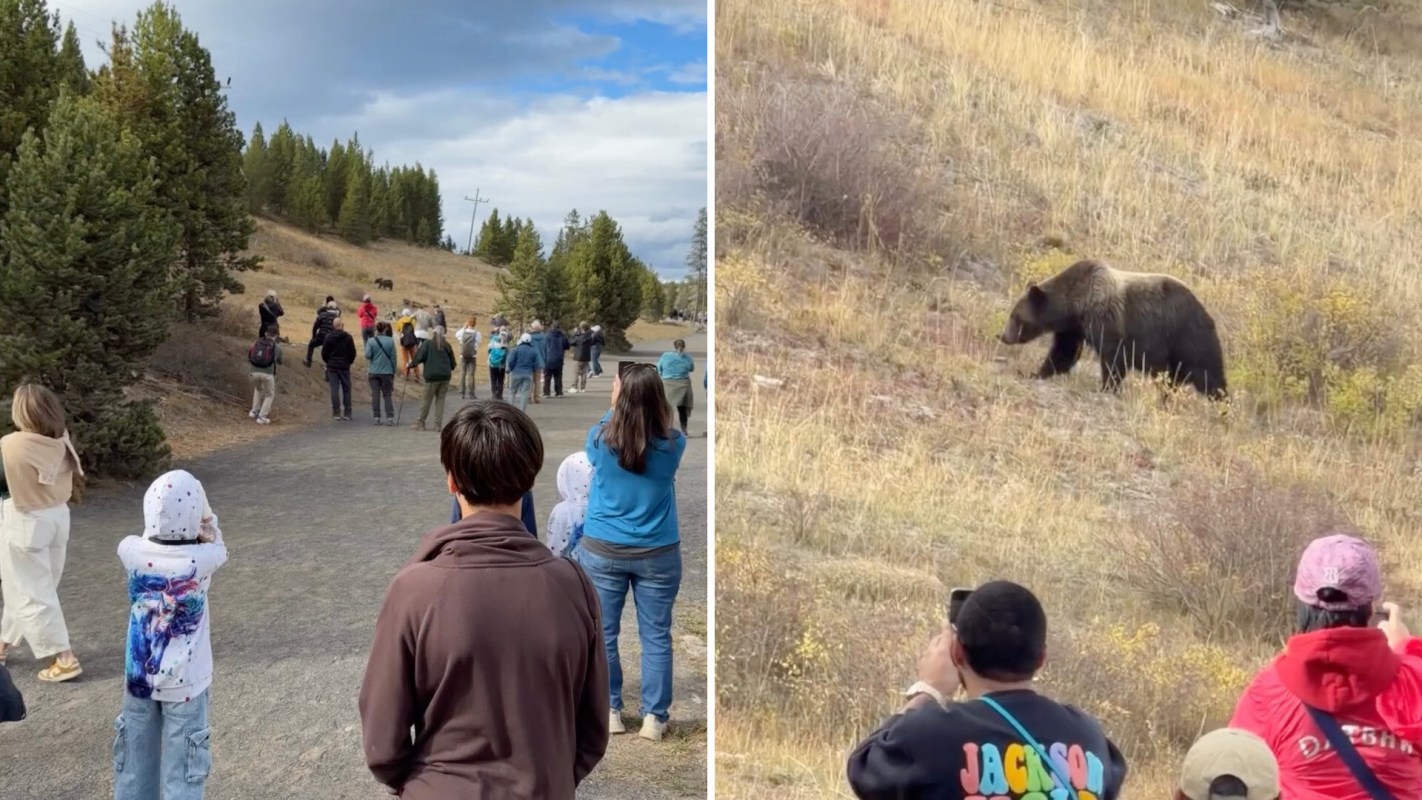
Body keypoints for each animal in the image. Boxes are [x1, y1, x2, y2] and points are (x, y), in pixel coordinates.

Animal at [998, 259, 1227, 399]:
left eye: (1014, 316)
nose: (1003, 336)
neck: (1077, 305)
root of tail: (1208, 313)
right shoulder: (1074, 329)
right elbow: (1063, 353)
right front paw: (1035, 372)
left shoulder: (1107, 322)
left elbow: (1113, 358)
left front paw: (1106, 387)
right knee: (1171, 380)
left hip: (1187, 338)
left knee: (1209, 375)